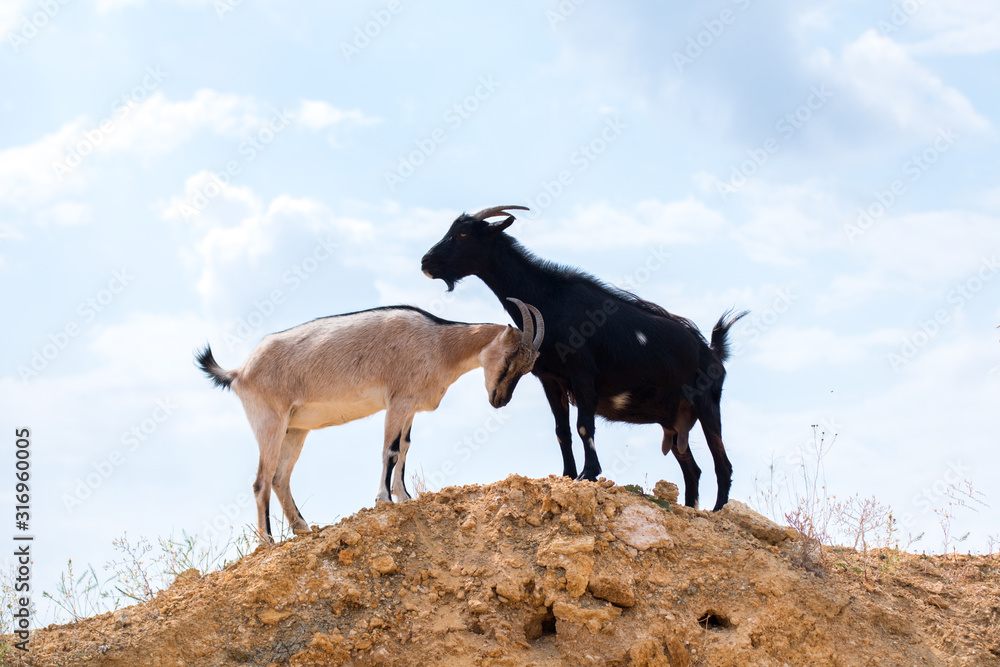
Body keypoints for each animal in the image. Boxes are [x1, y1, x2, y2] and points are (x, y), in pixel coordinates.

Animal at [195, 300, 544, 542]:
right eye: (510, 357)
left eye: (529, 367)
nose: (499, 400)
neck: (439, 342)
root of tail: (239, 371)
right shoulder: (397, 401)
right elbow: (390, 451)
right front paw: (383, 499)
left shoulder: (409, 407)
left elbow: (404, 448)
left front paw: (404, 497)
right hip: (270, 421)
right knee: (261, 481)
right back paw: (267, 540)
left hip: (295, 428)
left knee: (280, 478)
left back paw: (303, 528)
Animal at [421, 205, 746, 511]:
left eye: (464, 233)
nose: (426, 262)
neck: (549, 298)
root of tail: (713, 353)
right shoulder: (550, 378)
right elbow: (562, 430)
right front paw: (568, 474)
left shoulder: (582, 374)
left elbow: (583, 426)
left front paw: (588, 474)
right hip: (674, 422)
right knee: (693, 469)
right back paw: (693, 509)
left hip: (707, 404)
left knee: (723, 465)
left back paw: (718, 512)